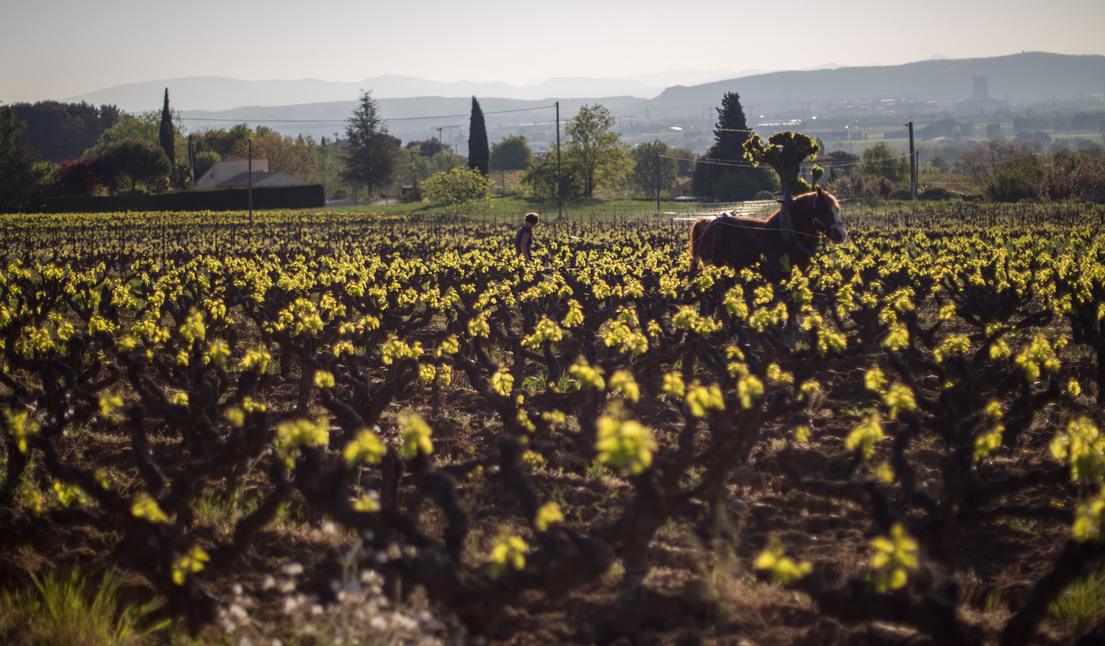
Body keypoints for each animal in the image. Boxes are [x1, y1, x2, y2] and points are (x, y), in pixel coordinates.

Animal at [685, 187, 848, 276]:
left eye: (837, 208)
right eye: (824, 209)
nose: (842, 235)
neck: (787, 237)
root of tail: (708, 223)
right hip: (715, 267)